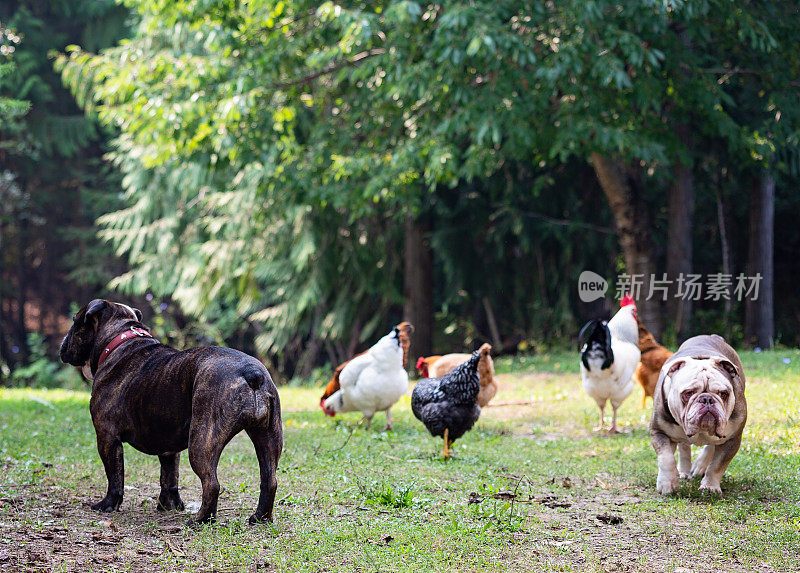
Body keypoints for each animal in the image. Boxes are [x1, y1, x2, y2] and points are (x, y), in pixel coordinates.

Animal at [57, 298, 282, 524]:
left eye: (75, 320)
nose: (63, 340)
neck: (119, 340)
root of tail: (251, 372)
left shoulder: (107, 436)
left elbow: (115, 476)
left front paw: (108, 505)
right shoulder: (168, 444)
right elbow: (169, 476)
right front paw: (169, 505)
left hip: (202, 441)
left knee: (212, 483)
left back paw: (201, 519)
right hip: (268, 437)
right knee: (269, 480)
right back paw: (260, 517)